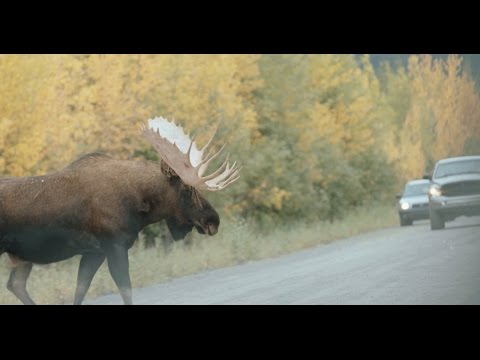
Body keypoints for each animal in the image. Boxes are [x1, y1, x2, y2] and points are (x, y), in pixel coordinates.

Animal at [0, 117, 240, 304]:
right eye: (187, 189)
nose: (213, 219)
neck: (139, 205)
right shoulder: (115, 245)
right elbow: (126, 289)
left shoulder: (95, 252)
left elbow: (80, 289)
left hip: (20, 258)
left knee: (15, 284)